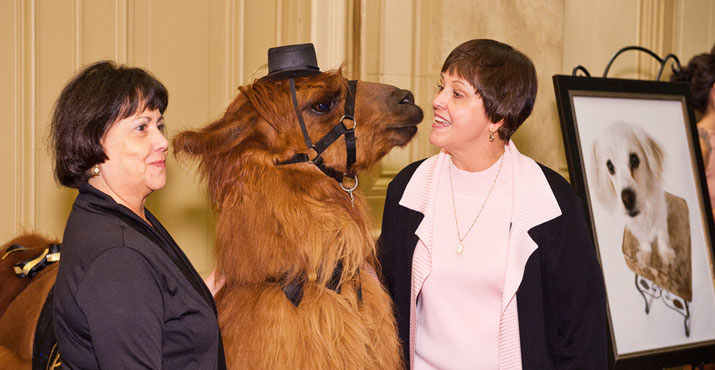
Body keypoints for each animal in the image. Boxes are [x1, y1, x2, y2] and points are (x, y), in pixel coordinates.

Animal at [592, 121, 676, 268]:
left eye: (634, 159)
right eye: (610, 166)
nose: (627, 199)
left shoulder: (661, 215)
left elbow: (662, 235)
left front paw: (666, 254)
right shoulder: (634, 226)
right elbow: (644, 240)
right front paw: (645, 255)